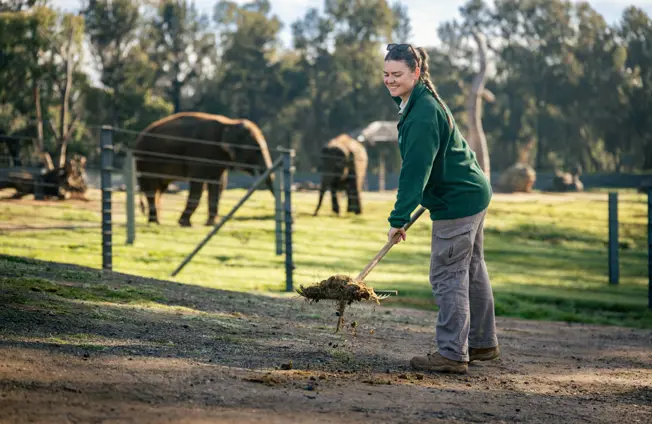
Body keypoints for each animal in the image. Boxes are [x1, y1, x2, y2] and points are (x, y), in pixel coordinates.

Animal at [134, 112, 275, 227]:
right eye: (256, 151)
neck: (230, 123)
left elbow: (217, 185)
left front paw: (211, 224)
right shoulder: (200, 152)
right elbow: (198, 185)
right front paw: (184, 223)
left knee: (160, 188)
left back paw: (156, 221)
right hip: (146, 161)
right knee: (152, 188)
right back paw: (155, 222)